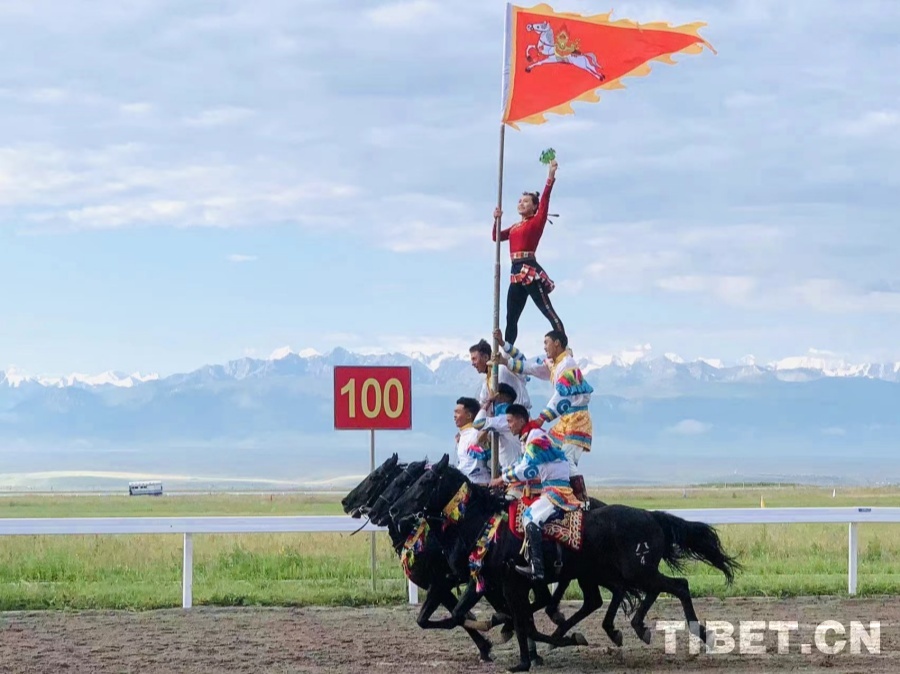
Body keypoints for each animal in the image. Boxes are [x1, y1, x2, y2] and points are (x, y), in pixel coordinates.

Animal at [390, 454, 740, 668]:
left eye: (423, 482)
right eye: (404, 481)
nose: (395, 511)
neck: (482, 524)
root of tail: (651, 516)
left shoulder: (501, 583)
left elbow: (506, 619)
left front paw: (518, 649)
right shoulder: (486, 582)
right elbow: (458, 616)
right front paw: (509, 639)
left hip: (633, 570)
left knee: (678, 585)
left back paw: (699, 632)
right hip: (615, 572)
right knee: (616, 597)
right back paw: (630, 627)